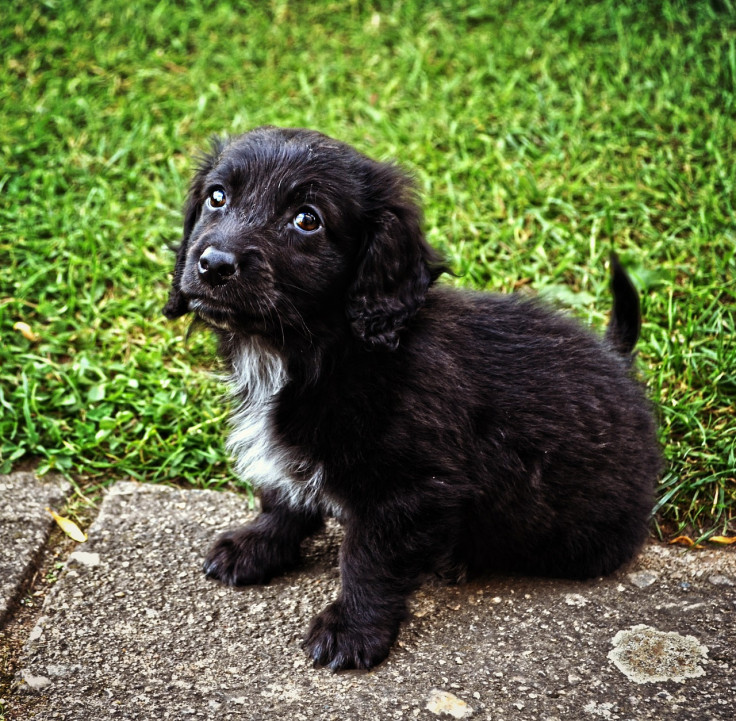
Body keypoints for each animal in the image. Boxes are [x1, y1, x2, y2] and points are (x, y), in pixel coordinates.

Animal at [165, 126, 660, 672]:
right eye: (217, 198)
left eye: (307, 220)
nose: (214, 264)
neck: (323, 353)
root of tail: (620, 363)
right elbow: (282, 498)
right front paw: (257, 545)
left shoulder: (409, 490)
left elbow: (367, 561)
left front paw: (352, 630)